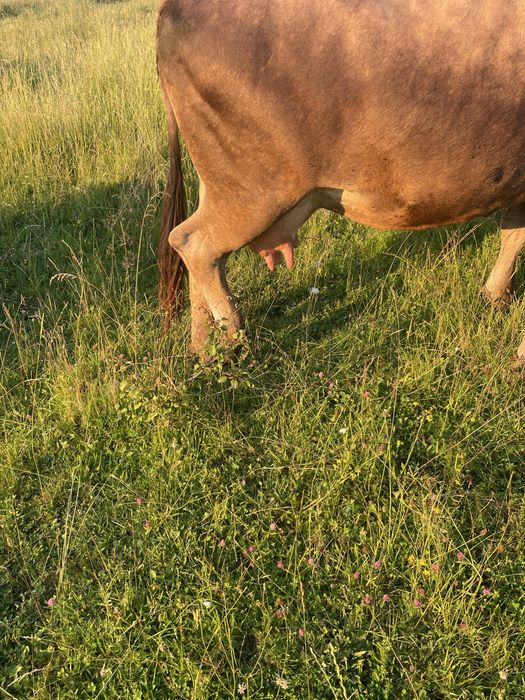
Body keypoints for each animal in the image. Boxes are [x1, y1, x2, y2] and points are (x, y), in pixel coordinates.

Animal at [156, 0, 525, 362]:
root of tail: (173, 7)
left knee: (203, 257)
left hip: (220, 184)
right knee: (193, 242)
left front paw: (495, 296)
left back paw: (203, 346)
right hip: (255, 189)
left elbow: (513, 234)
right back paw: (231, 338)